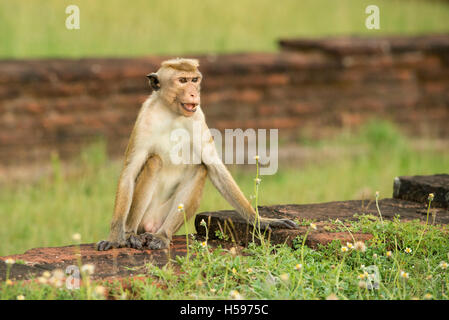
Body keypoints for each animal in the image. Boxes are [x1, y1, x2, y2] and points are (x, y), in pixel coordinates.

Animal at [96, 58, 298, 251]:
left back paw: (162, 236)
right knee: (154, 162)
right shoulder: (145, 118)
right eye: (182, 80)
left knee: (200, 169)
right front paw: (115, 238)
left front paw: (260, 220)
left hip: (162, 216)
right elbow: (129, 172)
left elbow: (214, 166)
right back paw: (131, 235)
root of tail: (150, 226)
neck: (171, 112)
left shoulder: (198, 117)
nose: (194, 93)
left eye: (194, 80)